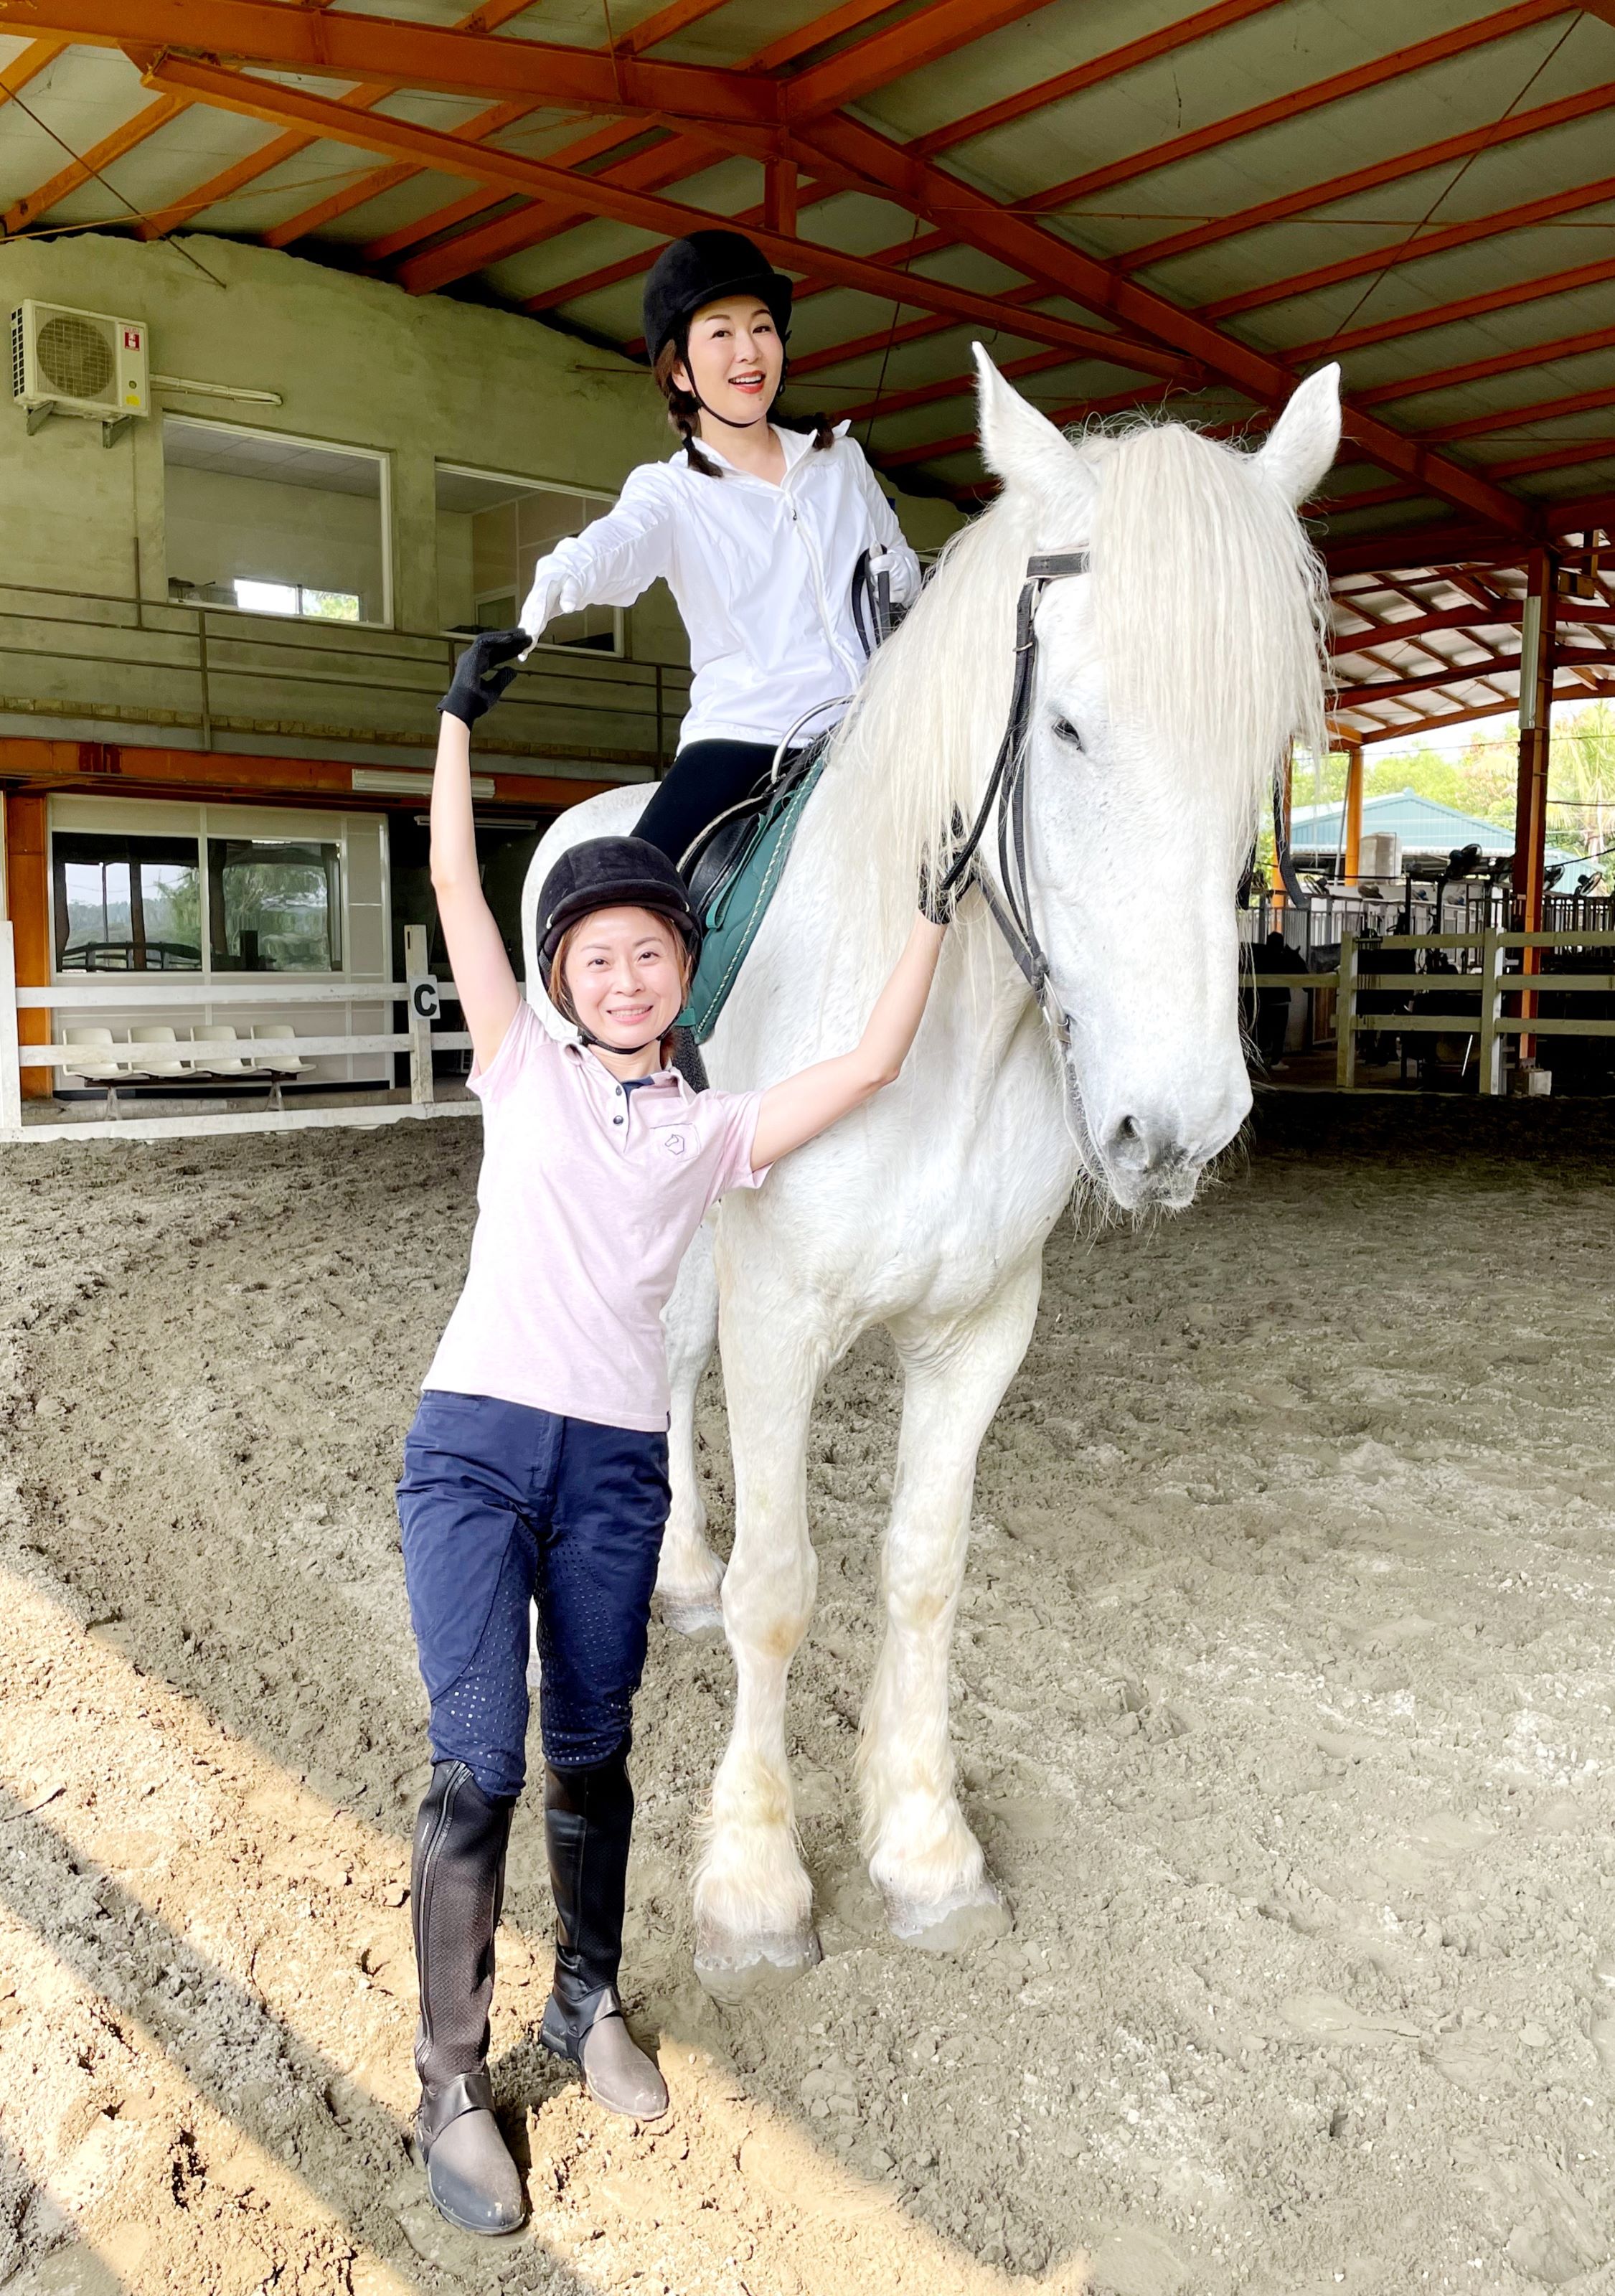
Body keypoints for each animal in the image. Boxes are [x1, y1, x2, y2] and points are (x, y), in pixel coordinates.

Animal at [520, 347, 1341, 2001]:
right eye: (1069, 729)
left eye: (1266, 749)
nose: (1175, 1128)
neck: (936, 1038)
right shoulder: (780, 1311)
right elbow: (783, 1589)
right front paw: (755, 1885)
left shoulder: (978, 1329)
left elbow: (921, 1569)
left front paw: (924, 1848)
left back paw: (675, 1576)